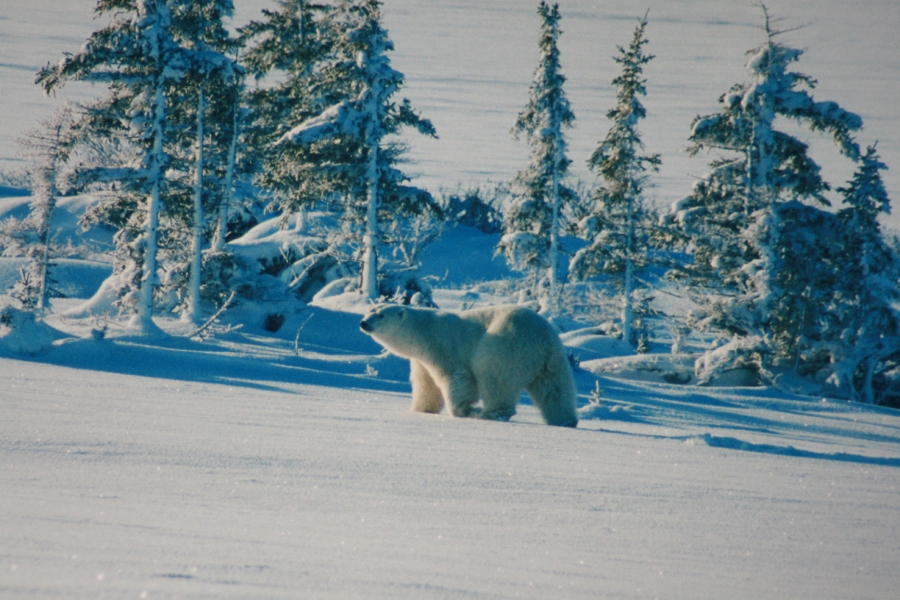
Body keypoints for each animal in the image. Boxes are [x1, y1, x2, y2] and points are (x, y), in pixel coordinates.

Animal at [359, 304, 578, 427]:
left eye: (381, 315)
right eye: (369, 311)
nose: (363, 323)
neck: (421, 330)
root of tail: (541, 338)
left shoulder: (442, 346)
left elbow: (456, 377)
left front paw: (461, 410)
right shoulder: (421, 360)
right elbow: (426, 384)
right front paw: (420, 410)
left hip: (505, 344)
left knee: (494, 375)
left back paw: (490, 413)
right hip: (553, 358)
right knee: (554, 389)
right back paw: (565, 420)